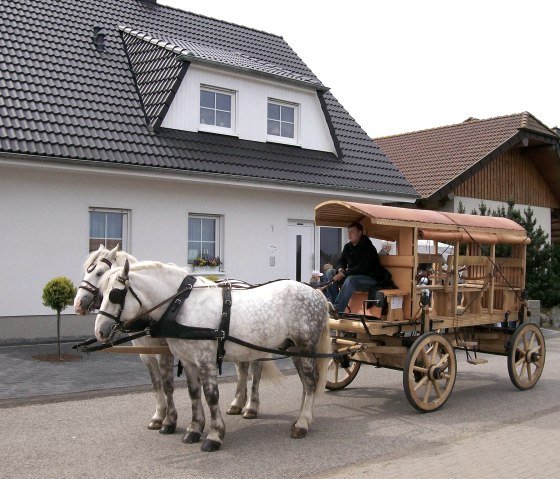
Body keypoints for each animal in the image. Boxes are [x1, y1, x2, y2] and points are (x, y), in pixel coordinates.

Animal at [93, 260, 330, 452]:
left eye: (115, 294)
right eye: (101, 294)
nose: (100, 332)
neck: (182, 304)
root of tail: (317, 293)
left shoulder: (205, 360)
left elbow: (210, 395)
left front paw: (214, 436)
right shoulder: (188, 361)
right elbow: (193, 394)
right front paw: (194, 429)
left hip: (306, 347)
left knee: (310, 382)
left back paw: (302, 423)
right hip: (294, 350)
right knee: (305, 383)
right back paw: (303, 417)